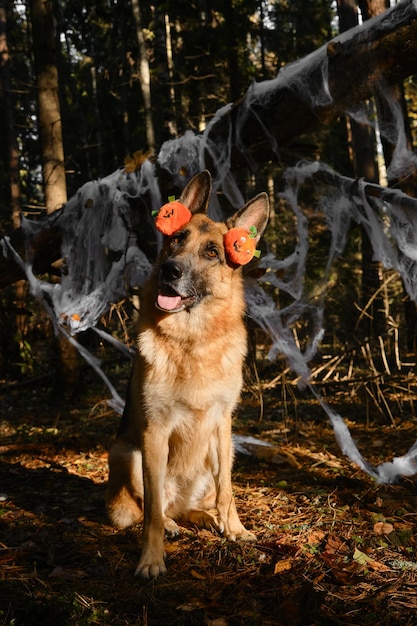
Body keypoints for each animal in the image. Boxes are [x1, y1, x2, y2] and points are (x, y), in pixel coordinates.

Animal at [106, 169, 270, 576]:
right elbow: (149, 512)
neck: (193, 341)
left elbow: (228, 490)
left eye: (212, 252)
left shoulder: (223, 425)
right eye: (176, 239)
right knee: (155, 508)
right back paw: (171, 524)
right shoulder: (154, 432)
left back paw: (207, 518)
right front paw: (151, 558)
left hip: (213, 458)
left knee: (194, 503)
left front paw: (234, 528)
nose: (170, 270)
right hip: (126, 453)